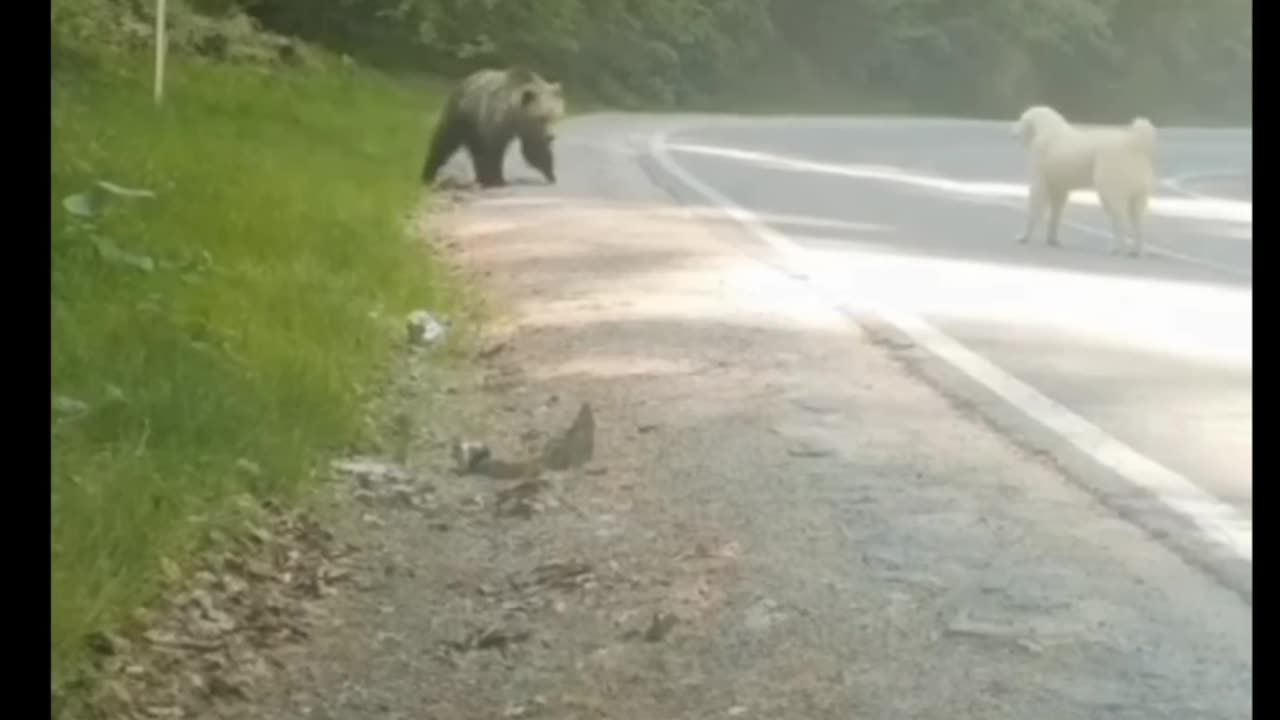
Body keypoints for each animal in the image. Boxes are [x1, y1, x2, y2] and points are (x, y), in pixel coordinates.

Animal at [1013, 103, 1157, 254]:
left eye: (1021, 119)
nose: (1012, 131)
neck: (1047, 129)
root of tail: (1134, 144)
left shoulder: (1040, 168)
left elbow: (1036, 199)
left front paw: (1023, 237)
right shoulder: (1059, 186)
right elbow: (1057, 210)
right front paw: (1053, 239)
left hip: (1111, 174)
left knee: (1118, 215)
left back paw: (1116, 248)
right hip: (1139, 184)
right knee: (1138, 217)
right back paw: (1136, 251)